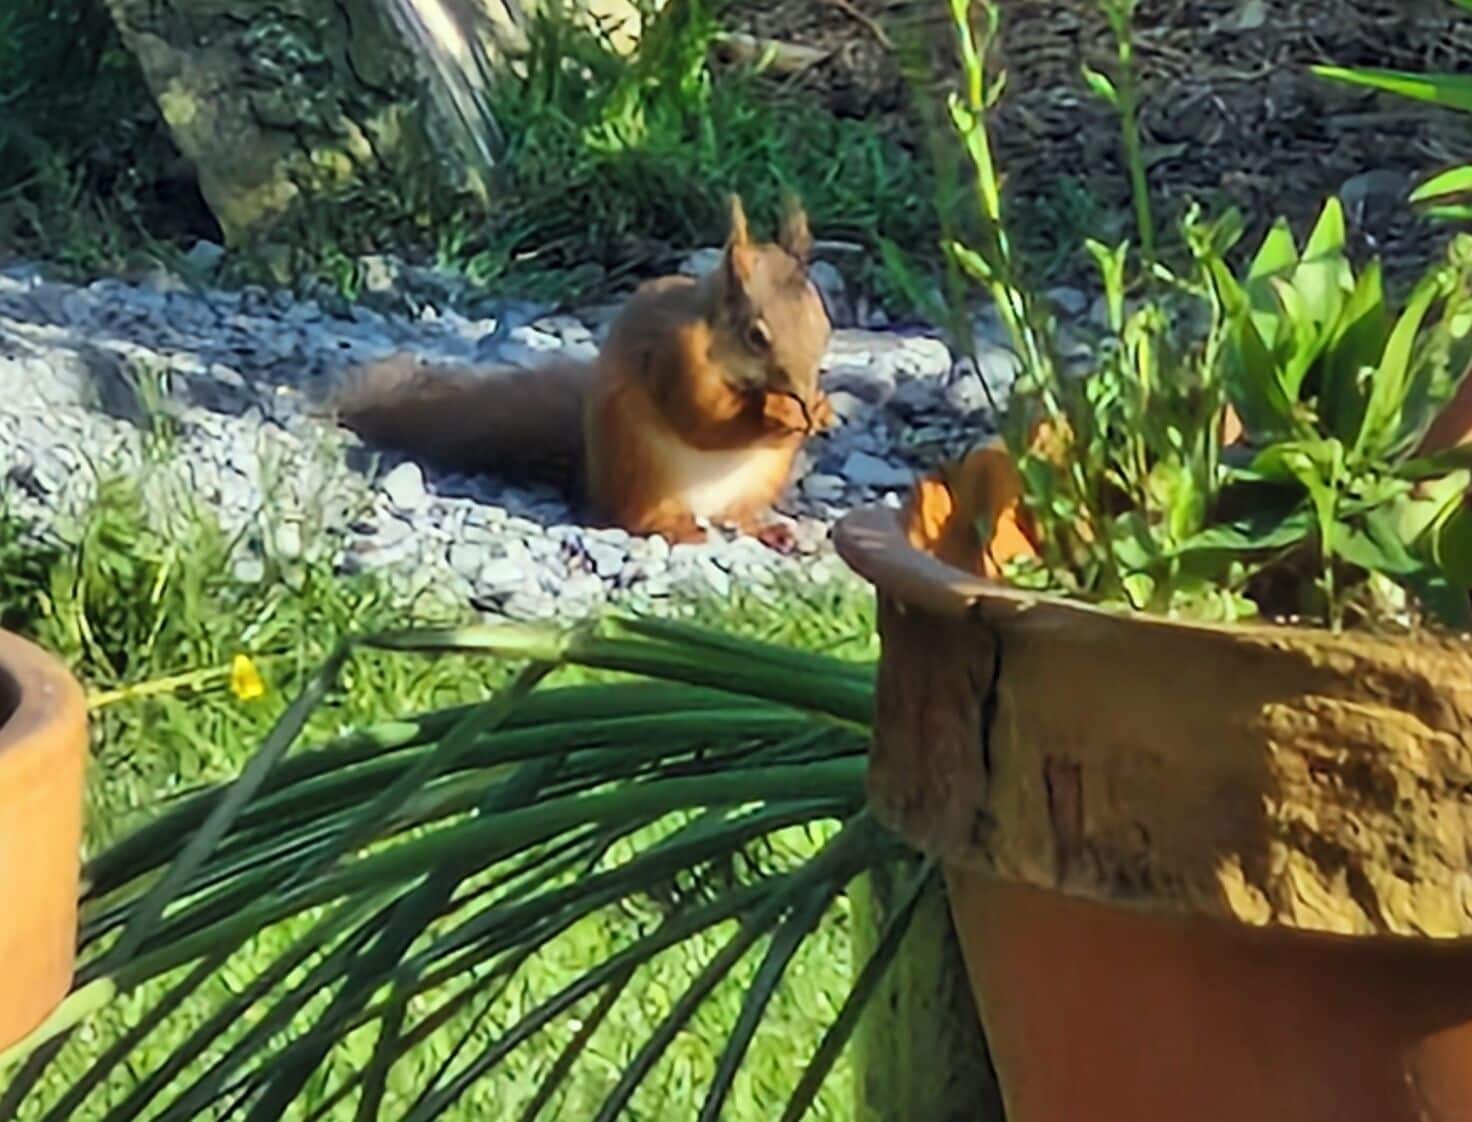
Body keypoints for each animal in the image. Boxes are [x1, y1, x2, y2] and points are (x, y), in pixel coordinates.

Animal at [330, 195, 834, 548]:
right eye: (756, 336)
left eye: (825, 324)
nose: (804, 395)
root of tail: (590, 479)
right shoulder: (672, 357)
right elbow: (700, 417)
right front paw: (778, 413)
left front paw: (820, 412)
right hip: (641, 470)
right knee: (634, 517)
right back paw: (675, 527)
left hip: (759, 480)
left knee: (737, 515)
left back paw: (767, 528)